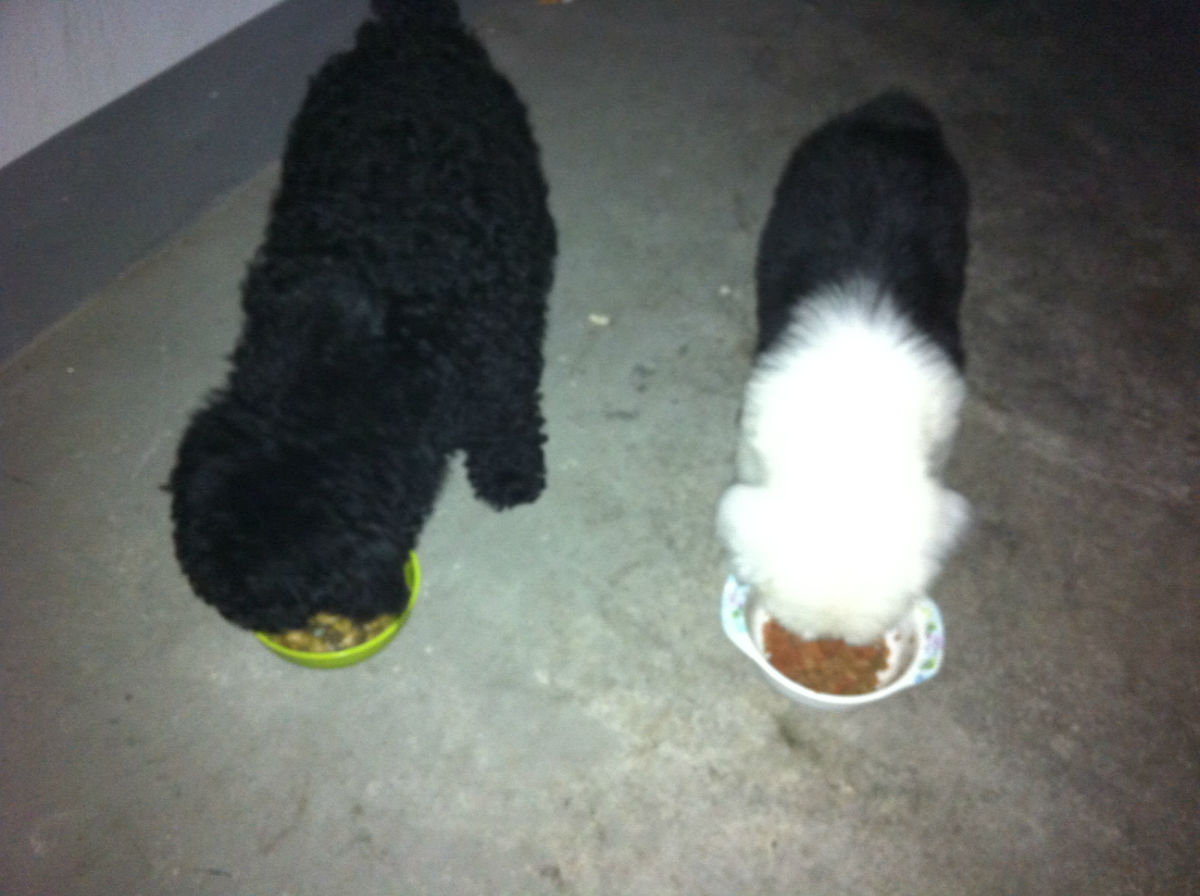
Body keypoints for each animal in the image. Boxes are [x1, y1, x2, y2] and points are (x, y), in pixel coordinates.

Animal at [169, 0, 556, 633]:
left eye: (281, 595)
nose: (241, 616)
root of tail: (406, 34)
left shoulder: (497, 354)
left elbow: (508, 415)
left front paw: (510, 472)